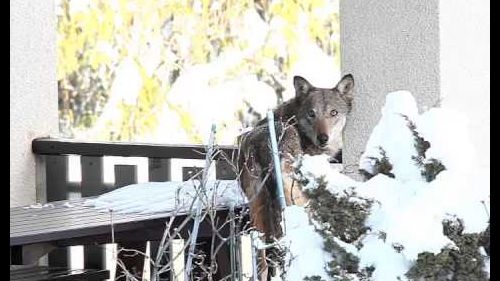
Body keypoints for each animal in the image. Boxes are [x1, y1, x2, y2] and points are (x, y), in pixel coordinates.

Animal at [236, 74, 354, 278]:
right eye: (311, 114)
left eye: (333, 113)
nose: (323, 138)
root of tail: (263, 145)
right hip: (297, 206)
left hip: (258, 215)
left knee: (262, 261)